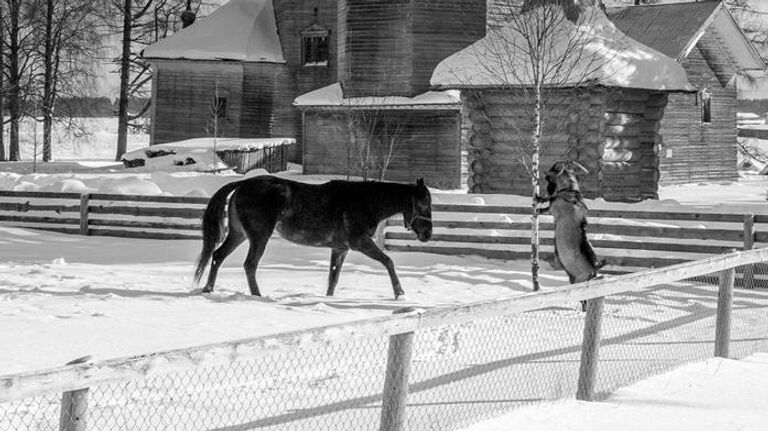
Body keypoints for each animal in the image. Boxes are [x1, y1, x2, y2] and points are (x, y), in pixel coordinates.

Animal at [194, 176, 432, 300]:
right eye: (423, 204)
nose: (428, 234)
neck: (364, 202)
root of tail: (243, 183)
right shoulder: (361, 243)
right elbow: (388, 261)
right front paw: (399, 293)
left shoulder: (340, 248)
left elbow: (334, 276)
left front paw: (328, 298)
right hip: (259, 236)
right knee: (249, 264)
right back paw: (257, 295)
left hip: (239, 234)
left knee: (217, 255)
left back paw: (208, 289)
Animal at [536, 161, 608, 310]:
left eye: (548, 177)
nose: (547, 190)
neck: (571, 193)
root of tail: (594, 268)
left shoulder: (554, 209)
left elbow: (547, 207)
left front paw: (537, 204)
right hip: (574, 278)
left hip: (579, 281)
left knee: (584, 299)